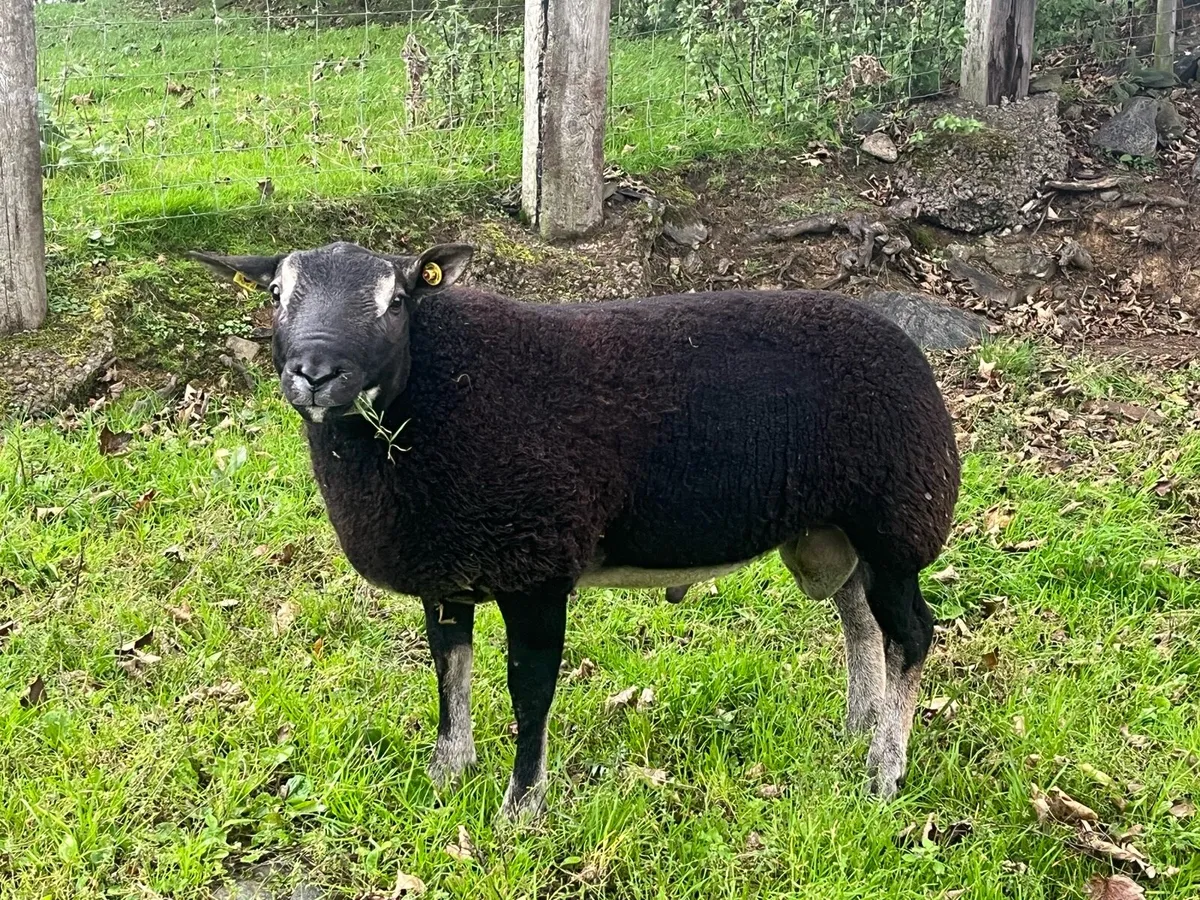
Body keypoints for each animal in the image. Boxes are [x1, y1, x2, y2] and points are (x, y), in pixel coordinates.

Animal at [189, 240, 961, 822]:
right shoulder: (448, 570)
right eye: (276, 294)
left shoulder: (536, 564)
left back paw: (886, 770)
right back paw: (859, 729)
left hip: (896, 521)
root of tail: (908, 347)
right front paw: (448, 772)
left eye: (398, 301)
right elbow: (448, 671)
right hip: (833, 533)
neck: (433, 396)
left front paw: (520, 807)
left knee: (912, 633)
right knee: (860, 621)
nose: (315, 373)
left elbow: (529, 690)